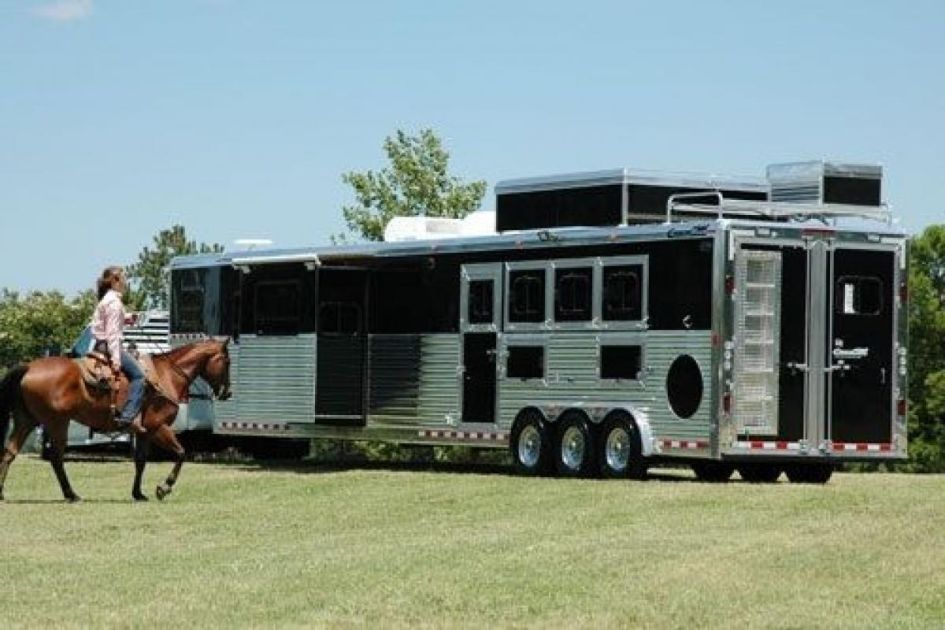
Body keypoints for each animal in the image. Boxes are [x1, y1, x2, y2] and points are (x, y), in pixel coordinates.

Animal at [0, 338, 231, 502]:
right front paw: (164, 488)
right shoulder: (158, 427)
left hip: (26, 421)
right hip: (57, 423)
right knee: (56, 458)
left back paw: (3, 493)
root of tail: (29, 367)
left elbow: (141, 461)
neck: (166, 376)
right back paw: (71, 494)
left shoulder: (143, 432)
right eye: (227, 362)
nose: (227, 392)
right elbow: (181, 453)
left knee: (9, 453)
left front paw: (138, 493)